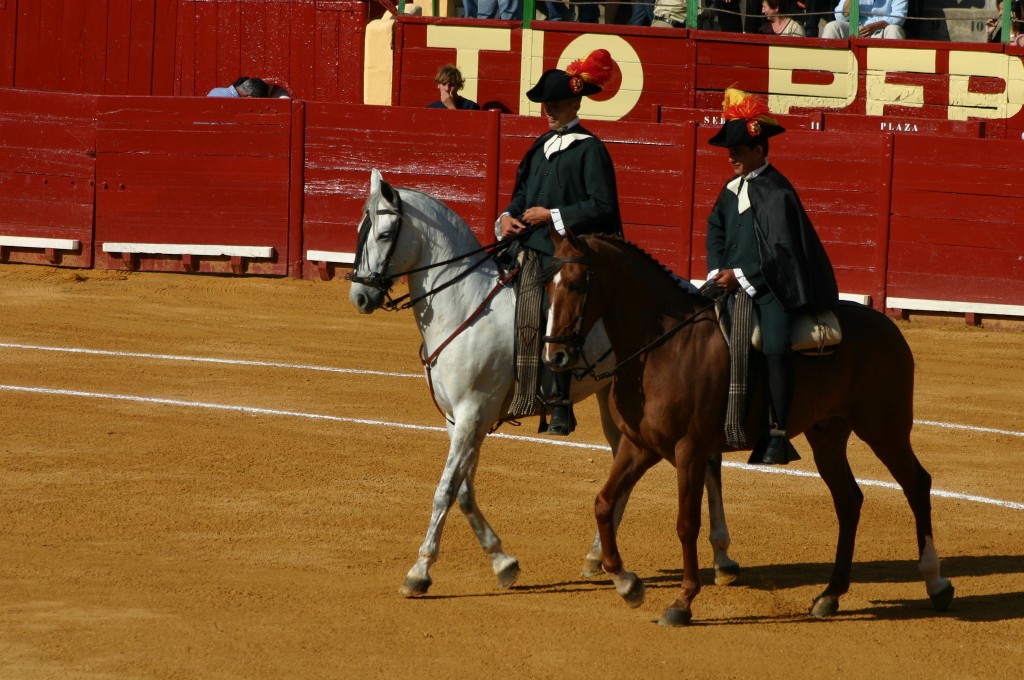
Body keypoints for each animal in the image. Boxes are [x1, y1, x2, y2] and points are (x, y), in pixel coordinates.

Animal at [544, 228, 950, 626]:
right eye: (548, 284)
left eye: (576, 284)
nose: (555, 355)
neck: (664, 347)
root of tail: (887, 326)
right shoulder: (639, 445)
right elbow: (603, 503)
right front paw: (627, 584)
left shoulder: (689, 449)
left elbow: (686, 522)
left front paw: (682, 601)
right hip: (828, 434)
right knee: (849, 500)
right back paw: (830, 595)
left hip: (885, 427)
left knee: (916, 484)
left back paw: (936, 583)